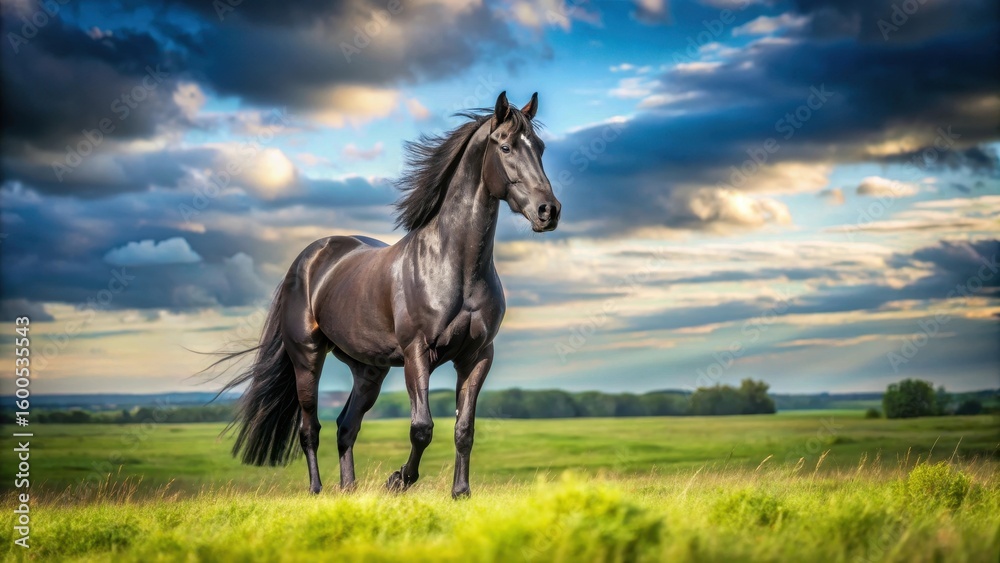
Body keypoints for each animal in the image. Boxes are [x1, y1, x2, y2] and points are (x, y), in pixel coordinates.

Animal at [217, 91, 560, 498]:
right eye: (505, 146)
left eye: (540, 147)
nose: (548, 211)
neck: (455, 266)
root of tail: (308, 260)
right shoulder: (417, 353)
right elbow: (422, 428)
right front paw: (398, 480)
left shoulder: (477, 357)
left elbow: (464, 429)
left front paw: (460, 492)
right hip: (307, 358)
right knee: (310, 428)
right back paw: (317, 490)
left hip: (368, 370)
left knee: (346, 426)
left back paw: (349, 489)